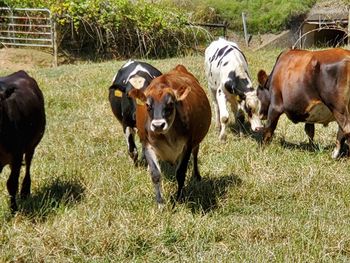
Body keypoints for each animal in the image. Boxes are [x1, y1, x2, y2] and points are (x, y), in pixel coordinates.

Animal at [0, 71, 45, 213]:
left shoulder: (17, 154)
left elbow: (12, 184)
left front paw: (14, 210)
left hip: (31, 146)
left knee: (28, 164)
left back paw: (25, 192)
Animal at [127, 65, 212, 207]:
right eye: (148, 105)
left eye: (171, 104)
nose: (158, 125)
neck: (168, 136)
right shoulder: (147, 144)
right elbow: (155, 174)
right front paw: (160, 203)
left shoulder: (187, 145)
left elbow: (180, 173)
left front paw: (178, 199)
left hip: (196, 142)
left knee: (195, 155)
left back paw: (197, 175)